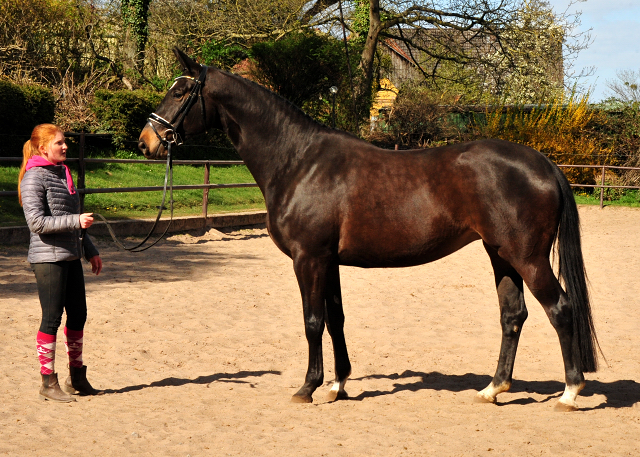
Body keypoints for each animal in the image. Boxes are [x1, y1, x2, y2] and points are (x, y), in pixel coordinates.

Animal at [139, 49, 600, 410]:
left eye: (180, 92)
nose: (147, 141)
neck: (299, 161)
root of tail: (543, 164)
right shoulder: (328, 261)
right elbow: (335, 319)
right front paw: (337, 384)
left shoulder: (309, 259)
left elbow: (312, 320)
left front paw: (307, 387)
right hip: (500, 254)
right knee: (513, 315)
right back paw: (493, 388)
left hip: (527, 257)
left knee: (560, 309)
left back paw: (569, 392)